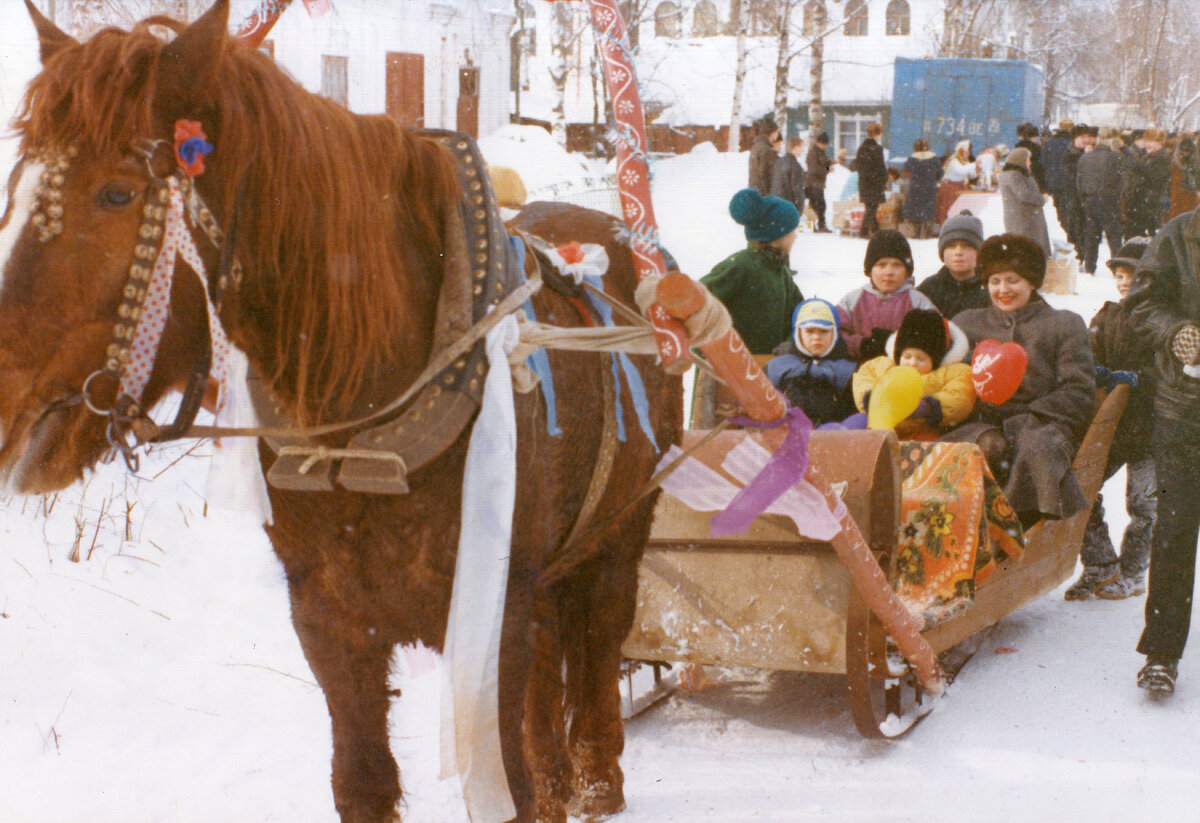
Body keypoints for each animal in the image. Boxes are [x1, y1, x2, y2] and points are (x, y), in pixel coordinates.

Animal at [0, 3, 681, 820]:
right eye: (15, 187)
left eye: (116, 193)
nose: (4, 401)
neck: (367, 431)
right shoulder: (329, 621)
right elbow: (362, 778)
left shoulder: (493, 619)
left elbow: (505, 781)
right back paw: (559, 781)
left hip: (618, 534)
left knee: (601, 636)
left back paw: (594, 777)